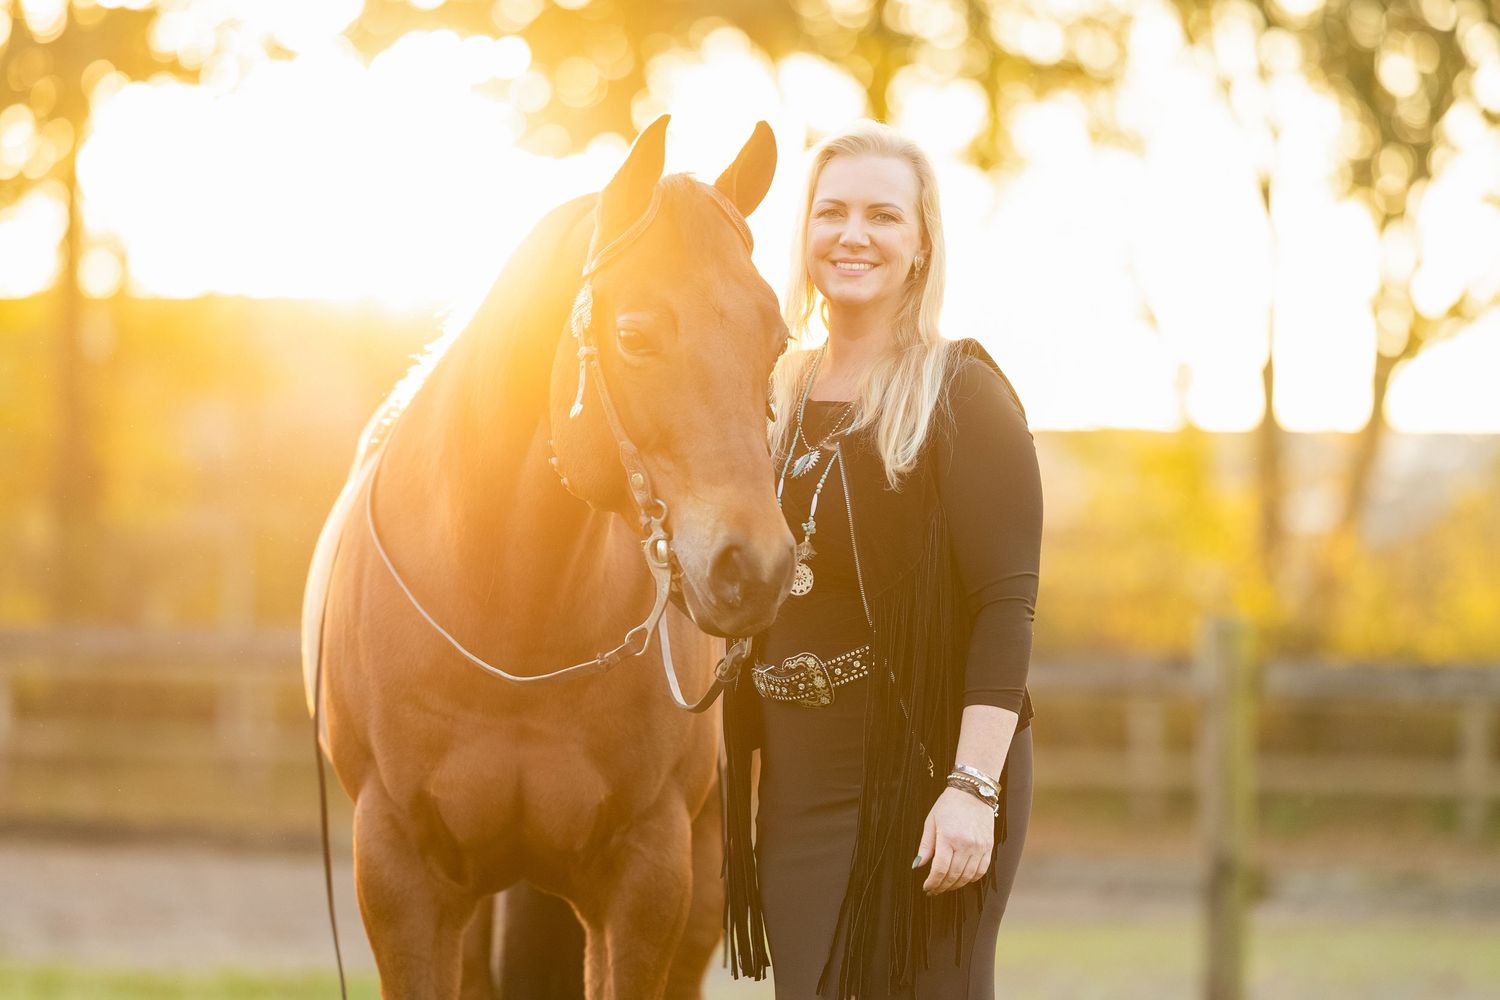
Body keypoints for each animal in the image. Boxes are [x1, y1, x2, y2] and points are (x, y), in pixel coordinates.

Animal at [301, 115, 795, 999]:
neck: (513, 622)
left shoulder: (646, 880)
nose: (756, 568)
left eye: (775, 340)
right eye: (634, 335)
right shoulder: (401, 878)